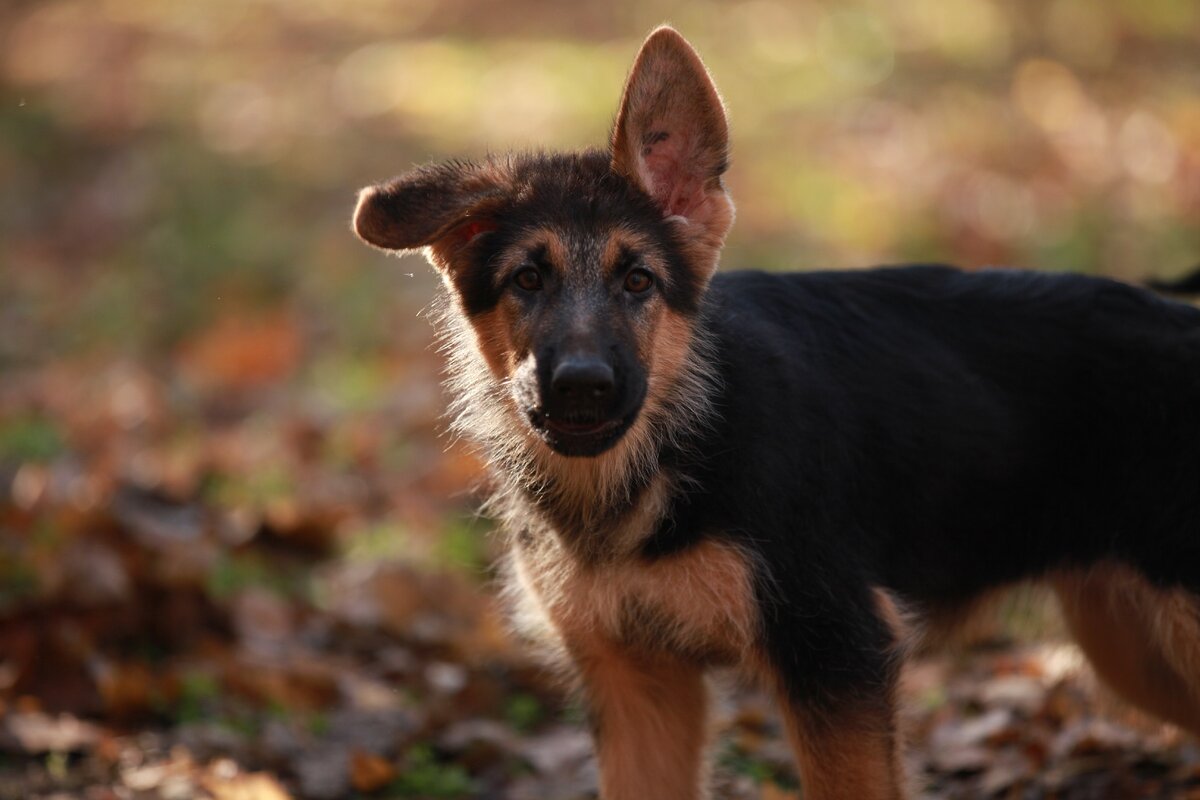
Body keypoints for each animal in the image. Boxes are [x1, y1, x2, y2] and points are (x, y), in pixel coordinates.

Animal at [350, 25, 1200, 800]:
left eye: (637, 281)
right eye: (527, 279)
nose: (582, 387)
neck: (672, 449)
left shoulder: (835, 651)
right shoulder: (637, 682)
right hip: (1131, 645)